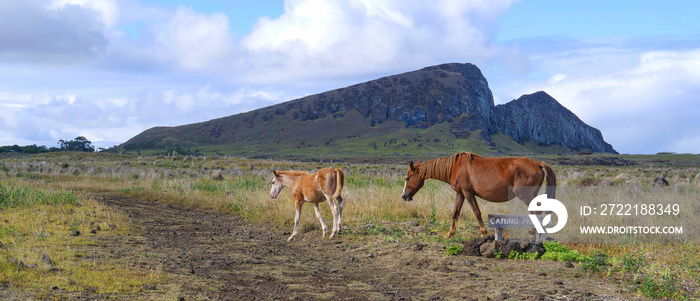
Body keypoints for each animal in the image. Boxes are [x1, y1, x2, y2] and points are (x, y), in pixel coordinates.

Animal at [402, 152, 556, 237]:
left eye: (407, 178)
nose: (404, 196)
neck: (455, 167)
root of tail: (537, 164)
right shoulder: (460, 194)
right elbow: (455, 213)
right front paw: (450, 233)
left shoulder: (468, 193)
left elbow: (477, 212)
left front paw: (484, 232)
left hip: (525, 195)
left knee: (537, 212)